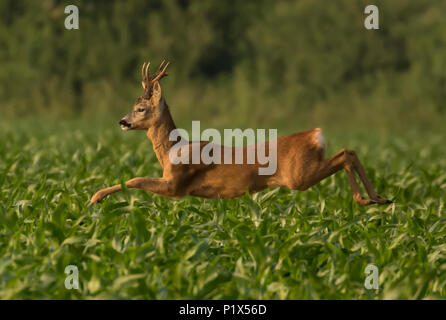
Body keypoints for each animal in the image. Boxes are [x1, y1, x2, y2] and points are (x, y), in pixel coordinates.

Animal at [89, 59, 392, 206]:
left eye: (140, 108)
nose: (122, 121)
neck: (174, 151)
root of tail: (315, 134)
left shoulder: (177, 185)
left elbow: (135, 179)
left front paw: (95, 198)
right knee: (349, 151)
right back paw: (379, 198)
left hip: (299, 175)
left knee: (345, 154)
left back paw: (365, 199)